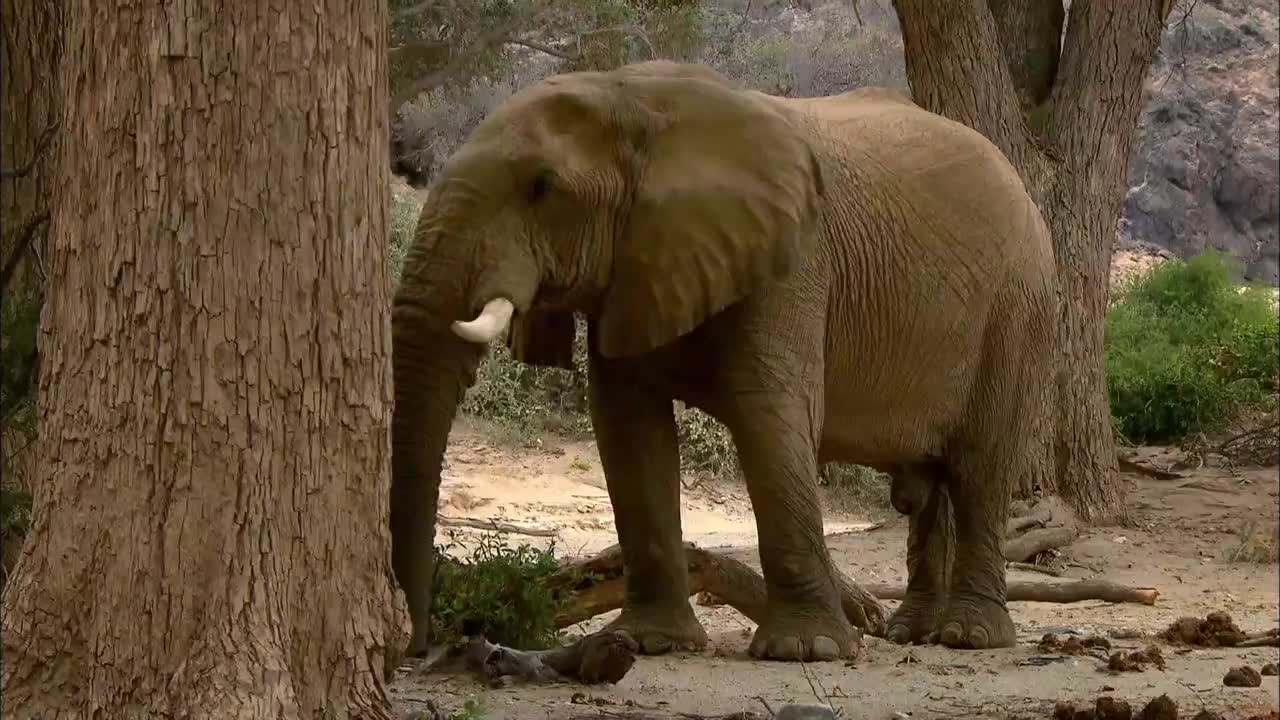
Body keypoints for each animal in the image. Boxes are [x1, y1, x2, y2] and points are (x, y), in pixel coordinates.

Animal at [389, 59, 1057, 664]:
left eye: (542, 187)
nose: (420, 647)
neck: (629, 96)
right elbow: (628, 428)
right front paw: (650, 644)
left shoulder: (792, 267)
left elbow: (770, 420)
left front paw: (804, 651)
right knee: (928, 487)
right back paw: (908, 634)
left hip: (1017, 308)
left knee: (979, 467)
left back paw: (969, 638)